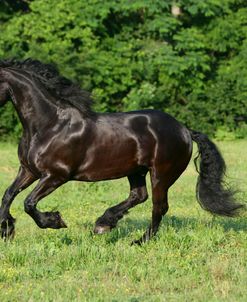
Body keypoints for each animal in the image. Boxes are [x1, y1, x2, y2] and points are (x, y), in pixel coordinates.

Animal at [0, 60, 243, 244]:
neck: (50, 124)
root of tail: (184, 129)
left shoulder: (56, 175)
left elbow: (29, 203)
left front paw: (55, 221)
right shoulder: (28, 171)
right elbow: (8, 195)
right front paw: (7, 230)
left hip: (161, 175)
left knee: (159, 207)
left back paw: (139, 240)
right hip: (136, 171)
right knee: (139, 196)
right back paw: (103, 224)